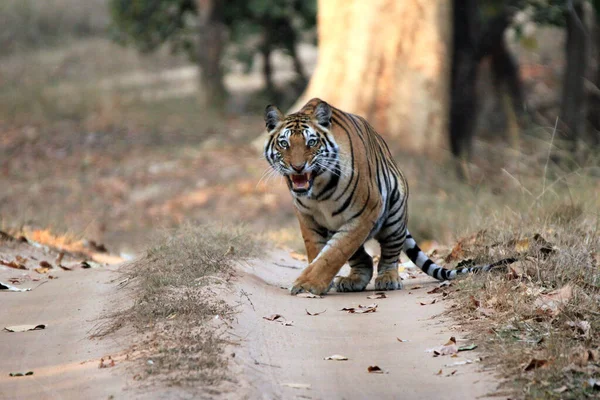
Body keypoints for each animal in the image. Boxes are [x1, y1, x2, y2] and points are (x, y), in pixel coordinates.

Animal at [262, 98, 510, 296]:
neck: (318, 192)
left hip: (393, 216)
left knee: (389, 253)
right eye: (284, 143)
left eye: (311, 142)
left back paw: (388, 279)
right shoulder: (307, 218)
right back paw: (352, 280)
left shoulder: (367, 211)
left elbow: (334, 253)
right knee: (362, 259)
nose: (297, 167)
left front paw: (308, 284)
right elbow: (317, 251)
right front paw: (316, 281)